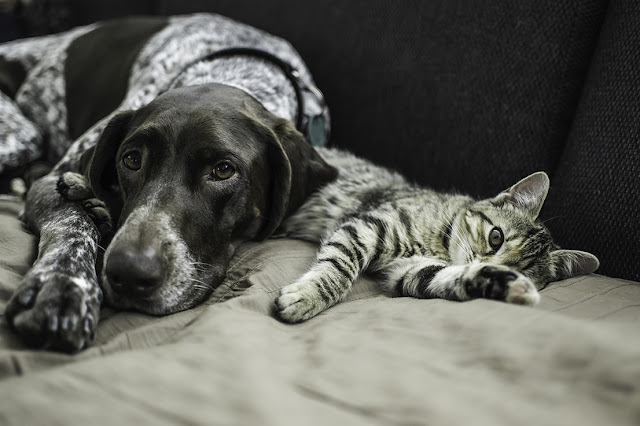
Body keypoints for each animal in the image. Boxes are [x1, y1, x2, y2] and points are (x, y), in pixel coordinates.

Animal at [0, 14, 338, 352]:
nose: (129, 272)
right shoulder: (51, 183)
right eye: (131, 160)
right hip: (23, 135)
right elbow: (73, 224)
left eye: (223, 170)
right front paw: (61, 285)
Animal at [276, 148, 600, 322]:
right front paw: (309, 295)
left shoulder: (407, 272)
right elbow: (339, 268)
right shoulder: (368, 227)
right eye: (496, 237)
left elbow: (447, 277)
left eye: (522, 271)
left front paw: (506, 284)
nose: (487, 261)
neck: (441, 244)